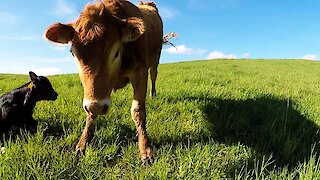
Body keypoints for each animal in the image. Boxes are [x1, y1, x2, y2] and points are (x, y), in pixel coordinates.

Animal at [44, 0, 164, 163]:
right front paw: (83, 144)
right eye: (73, 53)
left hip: (155, 59)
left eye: (116, 52)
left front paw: (145, 149)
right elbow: (90, 115)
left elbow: (138, 111)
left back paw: (153, 94)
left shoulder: (140, 73)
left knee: (154, 76)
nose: (97, 106)